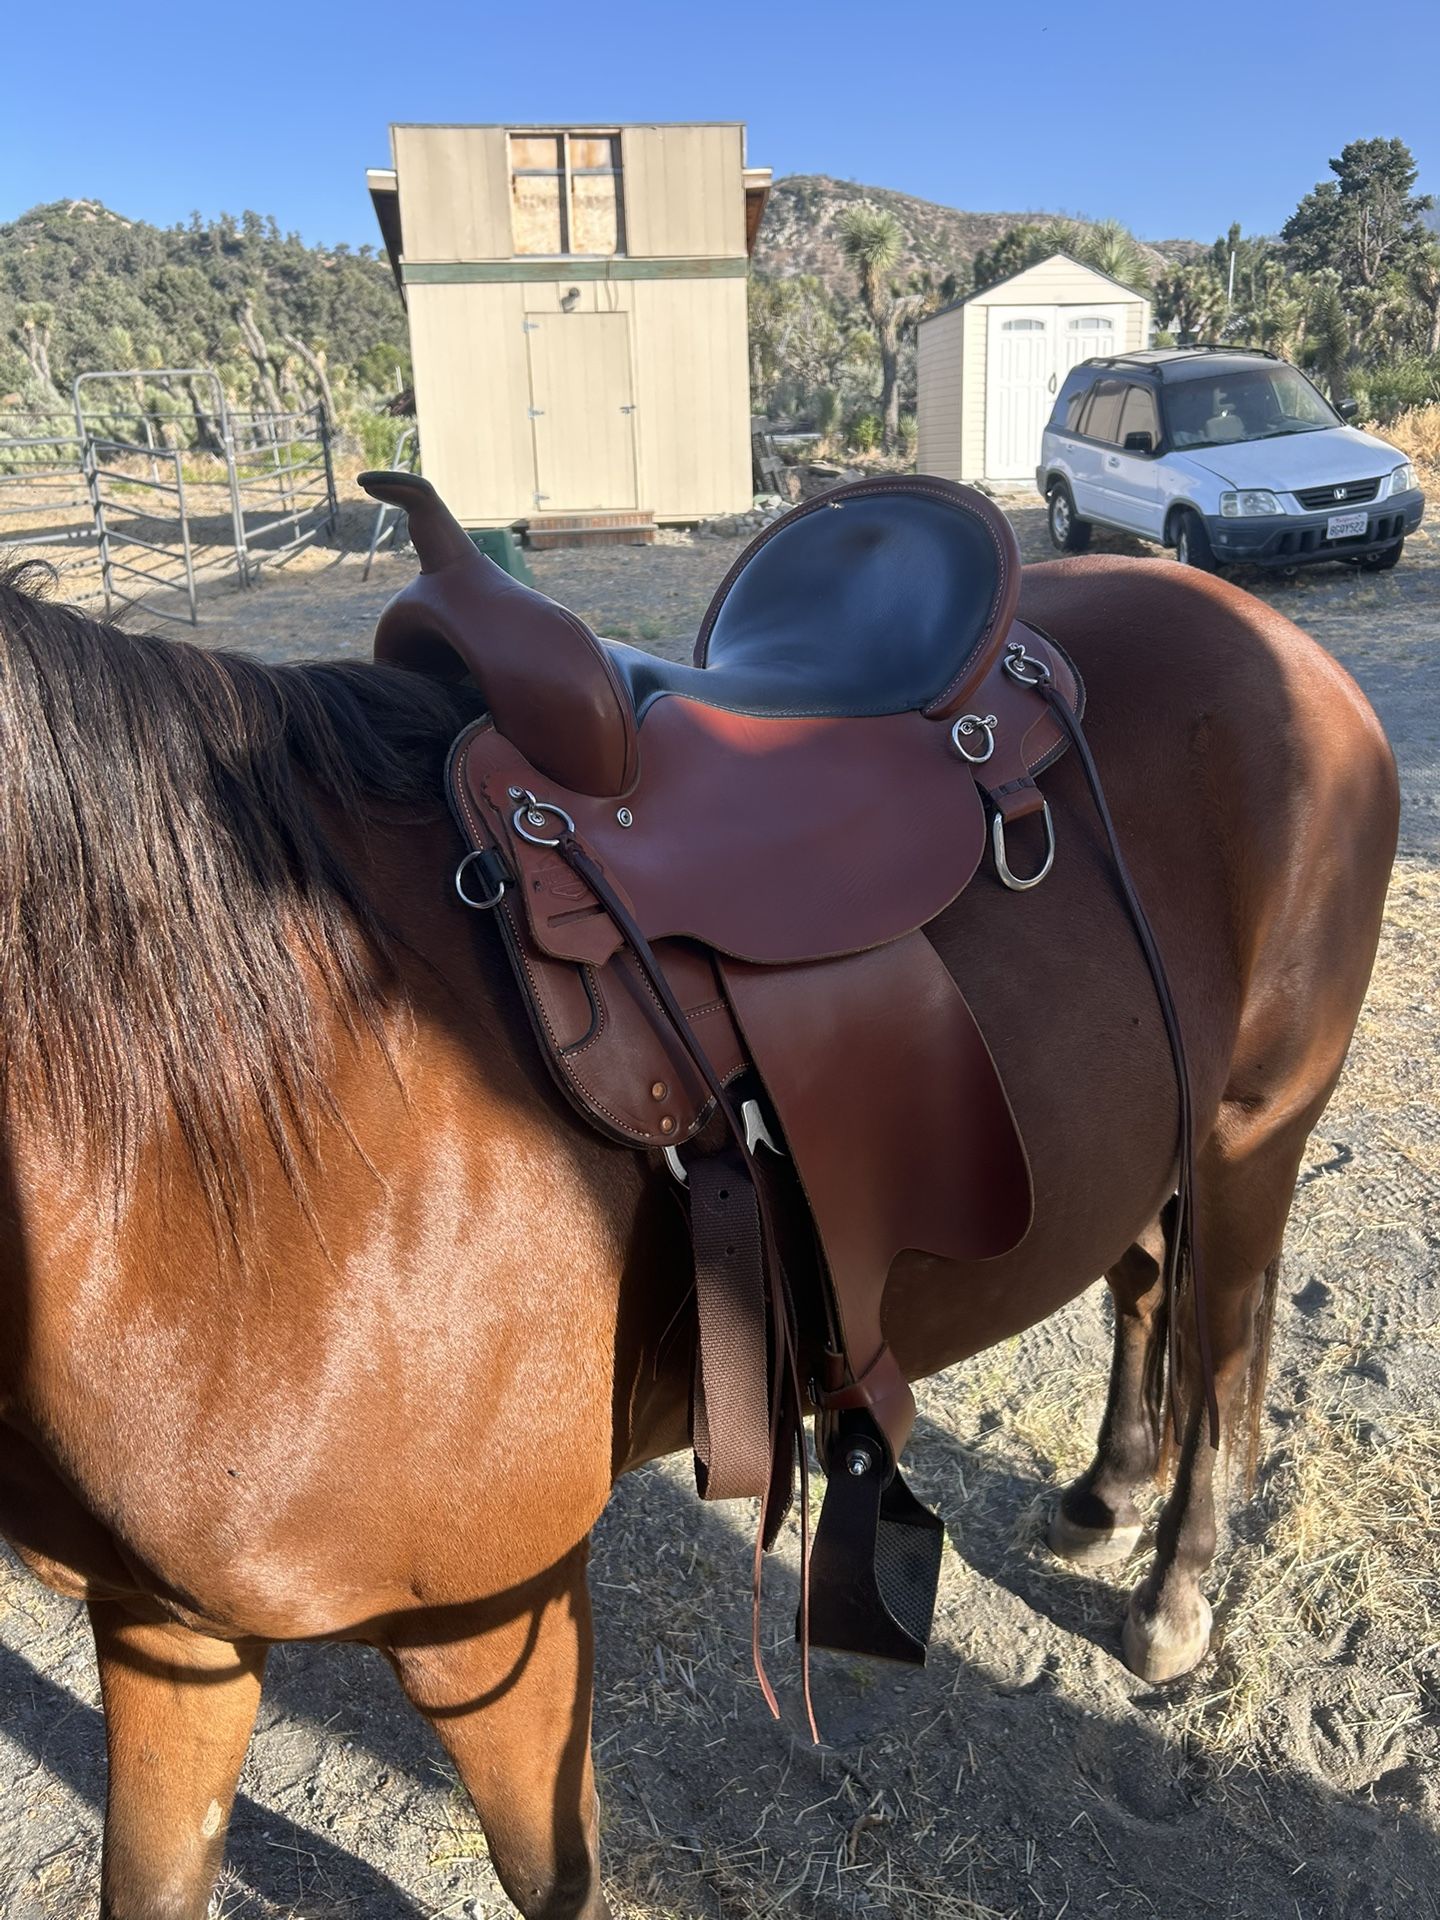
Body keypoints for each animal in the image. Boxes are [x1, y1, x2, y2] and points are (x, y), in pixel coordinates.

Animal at [0, 547, 1396, 1920]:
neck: (232, 1111)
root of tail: (1279, 638)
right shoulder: (164, 1631)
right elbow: (155, 1879)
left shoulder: (487, 1614)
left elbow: (554, 1876)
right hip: (1145, 1140)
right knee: (1146, 1286)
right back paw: (1104, 1496)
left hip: (1252, 1132)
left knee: (1225, 1345)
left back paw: (1173, 1595)